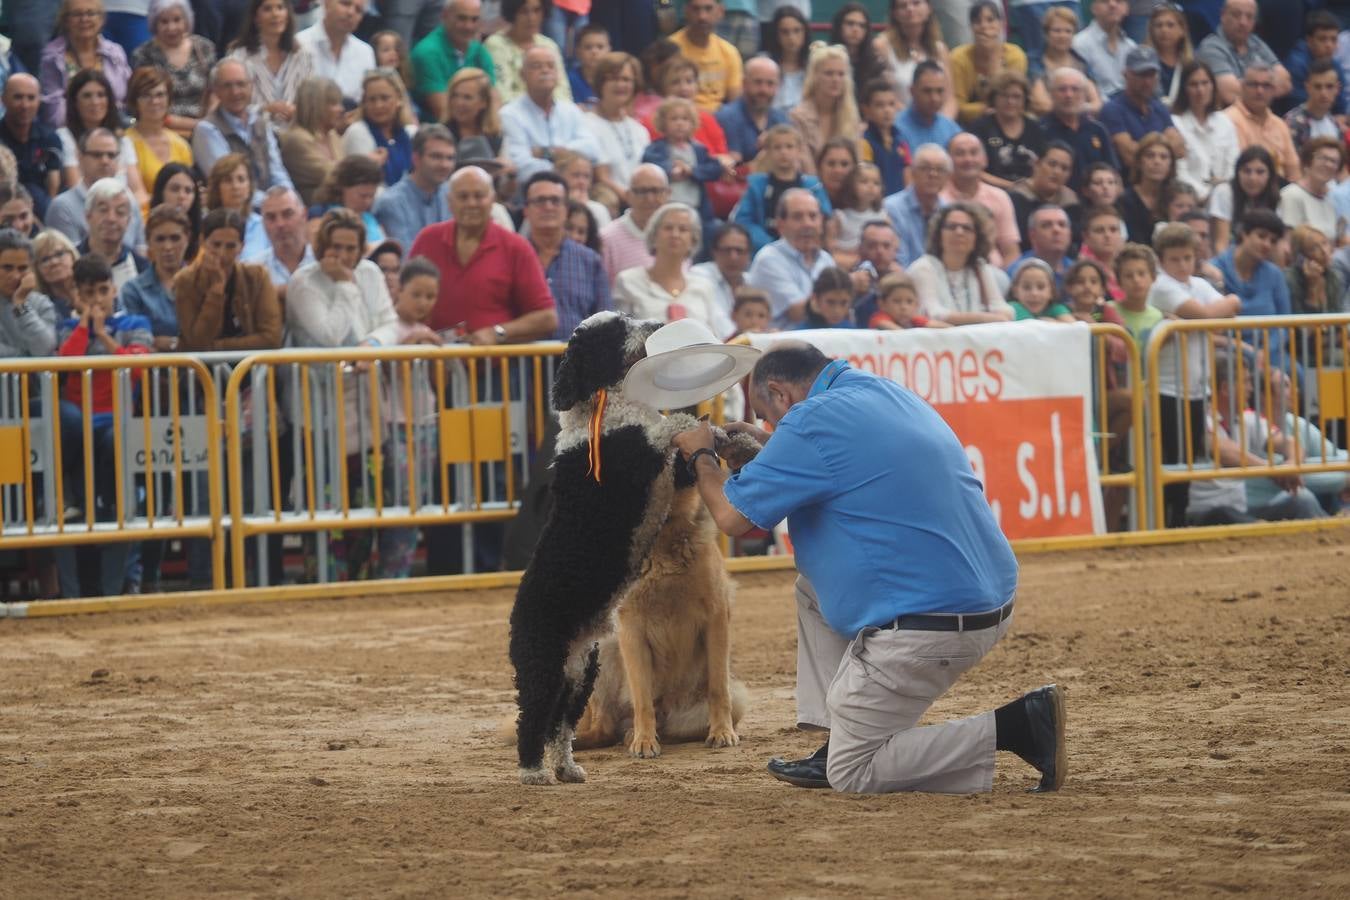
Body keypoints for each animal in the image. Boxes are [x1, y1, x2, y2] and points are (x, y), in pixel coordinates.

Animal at [504, 311, 696, 788]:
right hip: (544, 666)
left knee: (560, 725)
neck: (605, 406)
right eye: (613, 332)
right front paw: (695, 423)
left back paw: (566, 768)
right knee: (531, 719)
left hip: (580, 674)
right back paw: (533, 771)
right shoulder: (638, 457)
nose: (656, 323)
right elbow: (666, 428)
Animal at [569, 483, 750, 755]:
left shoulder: (716, 620)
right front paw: (644, 740)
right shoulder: (631, 630)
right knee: (604, 729)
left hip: (728, 700)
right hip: (603, 650)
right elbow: (643, 698)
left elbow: (718, 689)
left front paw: (722, 732)